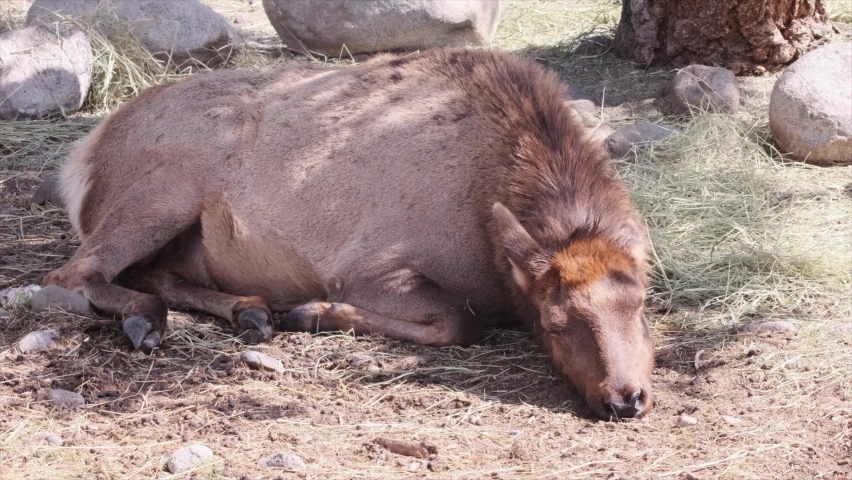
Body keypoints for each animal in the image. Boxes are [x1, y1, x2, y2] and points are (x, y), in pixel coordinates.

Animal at [45, 48, 655, 420]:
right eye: (554, 321)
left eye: (642, 305)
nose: (627, 398)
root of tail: (84, 158)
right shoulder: (368, 270)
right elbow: (460, 320)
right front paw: (312, 312)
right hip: (167, 190)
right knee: (73, 272)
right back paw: (149, 321)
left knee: (157, 273)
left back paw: (250, 310)